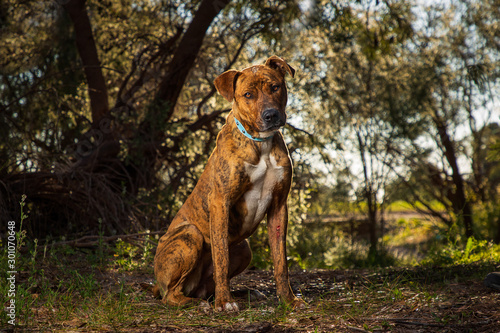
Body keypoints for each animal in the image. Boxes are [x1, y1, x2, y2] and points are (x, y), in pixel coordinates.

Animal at [152, 55, 302, 312]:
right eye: (248, 94)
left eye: (275, 87)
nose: (271, 115)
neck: (259, 143)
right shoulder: (220, 203)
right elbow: (220, 256)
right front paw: (225, 302)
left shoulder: (279, 206)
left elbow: (281, 263)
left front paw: (288, 300)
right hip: (190, 236)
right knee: (170, 293)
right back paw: (197, 303)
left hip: (244, 248)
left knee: (206, 287)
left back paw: (243, 294)